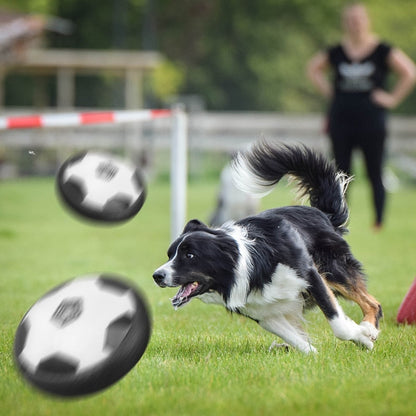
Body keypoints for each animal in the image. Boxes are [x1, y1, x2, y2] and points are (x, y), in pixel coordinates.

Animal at [154, 141, 384, 352]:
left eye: (190, 255)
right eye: (170, 255)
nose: (157, 276)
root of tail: (322, 213)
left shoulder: (310, 275)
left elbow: (338, 325)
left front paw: (363, 337)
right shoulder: (261, 311)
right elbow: (299, 342)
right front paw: (309, 352)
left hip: (334, 269)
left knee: (373, 303)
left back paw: (369, 328)